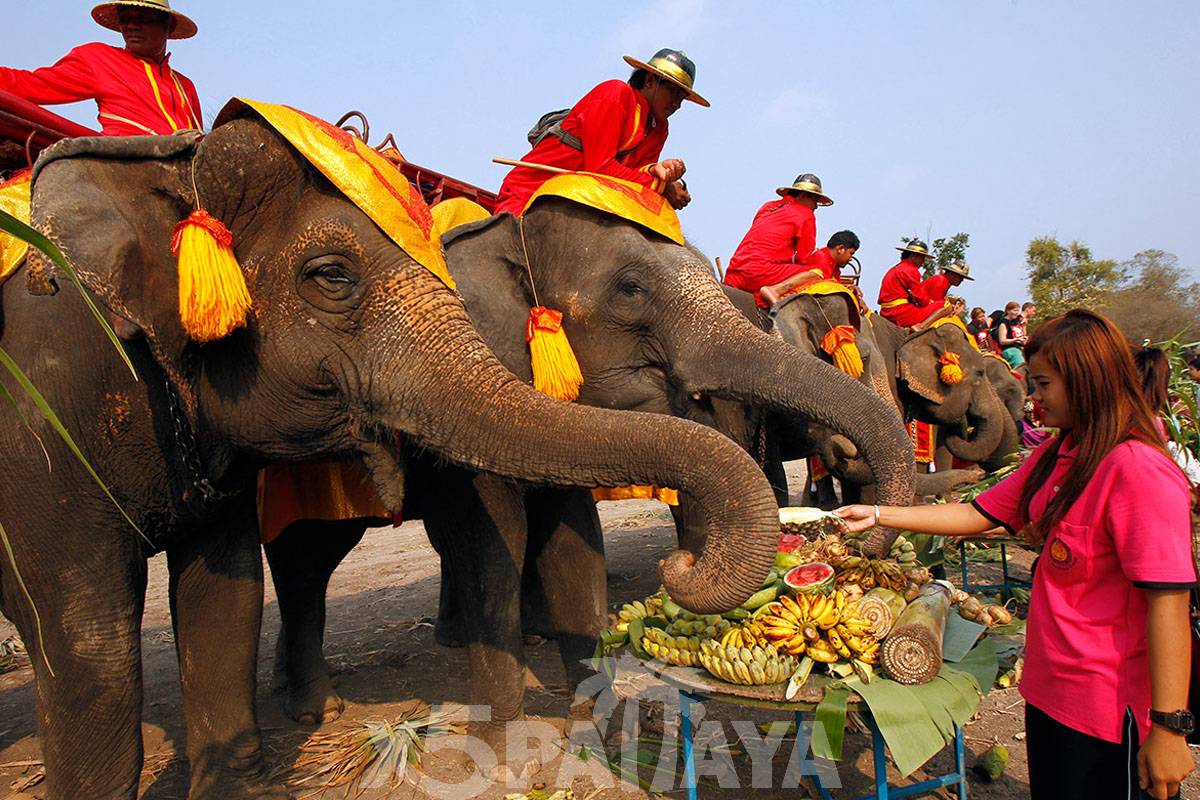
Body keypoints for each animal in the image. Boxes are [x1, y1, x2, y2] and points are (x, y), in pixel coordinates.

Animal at [265, 196, 916, 753]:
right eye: (631, 290)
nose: (853, 539)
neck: (507, 229)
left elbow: (572, 535)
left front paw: (592, 713)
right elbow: (494, 540)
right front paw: (498, 743)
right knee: (307, 560)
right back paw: (314, 708)